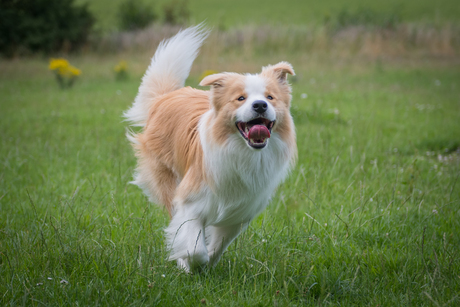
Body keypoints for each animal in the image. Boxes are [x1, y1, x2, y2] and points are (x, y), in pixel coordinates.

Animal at [125, 25, 298, 274]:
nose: (260, 105)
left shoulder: (239, 213)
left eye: (270, 97)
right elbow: (194, 246)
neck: (242, 152)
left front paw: (205, 264)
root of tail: (166, 97)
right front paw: (187, 264)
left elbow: (216, 247)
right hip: (167, 179)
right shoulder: (190, 201)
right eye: (240, 98)